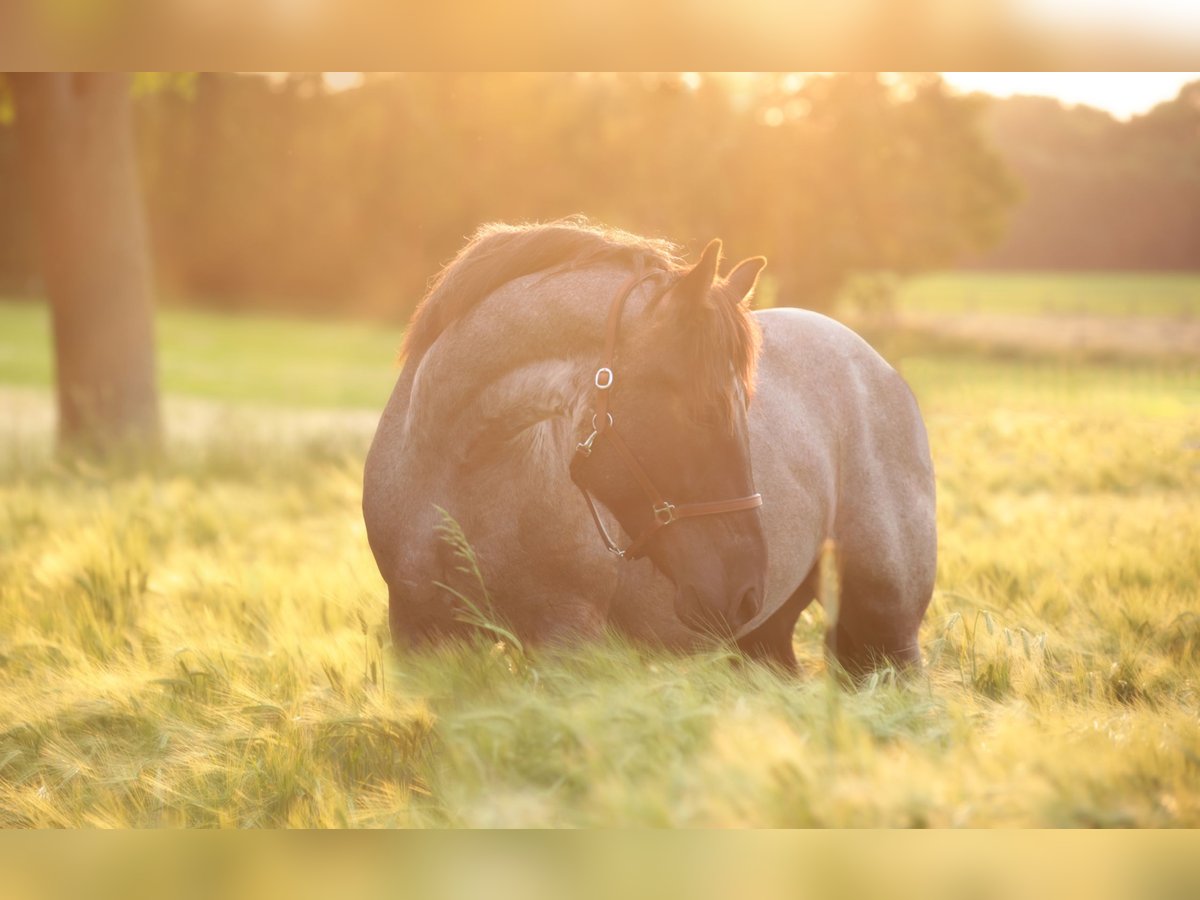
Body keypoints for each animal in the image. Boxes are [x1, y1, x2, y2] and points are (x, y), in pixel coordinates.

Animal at [364, 218, 936, 672]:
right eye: (706, 411)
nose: (745, 590)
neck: (455, 474)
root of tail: (879, 368)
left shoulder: (566, 643)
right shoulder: (420, 634)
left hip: (887, 632)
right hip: (763, 640)